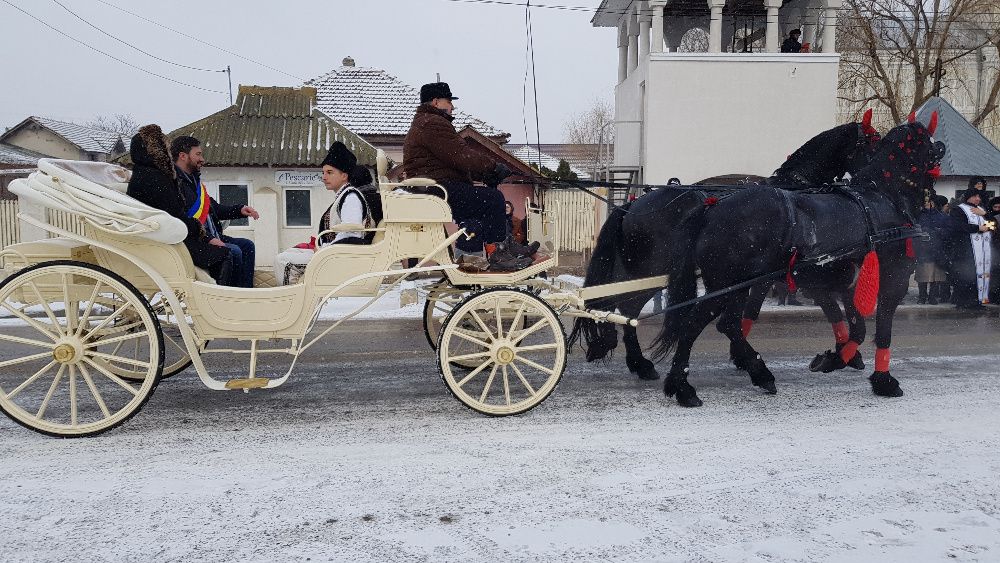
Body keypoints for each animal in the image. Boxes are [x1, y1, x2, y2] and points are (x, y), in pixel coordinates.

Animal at [568, 114, 880, 378]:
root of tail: (632, 206)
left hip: (636, 266)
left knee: (614, 302)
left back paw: (613, 347)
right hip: (651, 268)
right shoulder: (780, 276)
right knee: (626, 307)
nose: (873, 182)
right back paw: (636, 361)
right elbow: (752, 315)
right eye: (872, 141)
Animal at [656, 117, 944, 406]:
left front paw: (838, 357)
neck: (882, 196)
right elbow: (881, 329)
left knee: (724, 323)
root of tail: (710, 209)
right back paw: (685, 386)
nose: (941, 147)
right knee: (694, 325)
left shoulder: (841, 283)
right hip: (725, 286)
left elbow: (855, 326)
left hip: (736, 286)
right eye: (871, 141)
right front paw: (882, 380)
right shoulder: (891, 279)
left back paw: (755, 372)